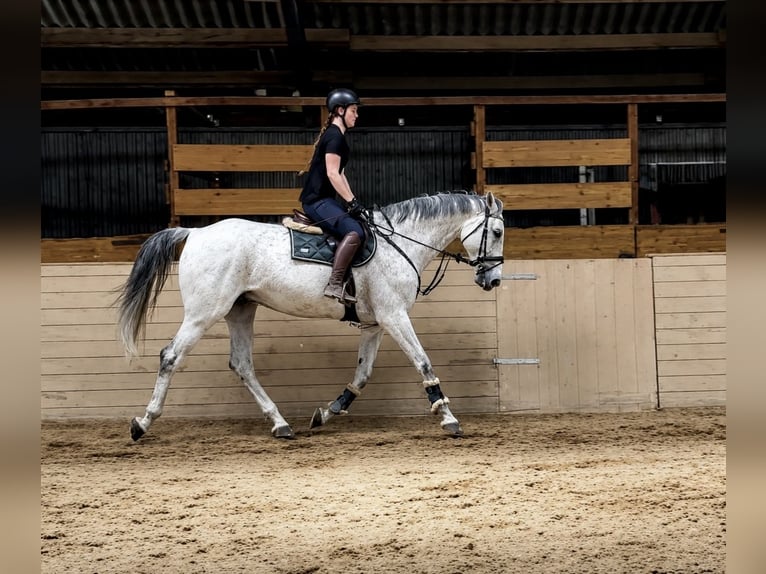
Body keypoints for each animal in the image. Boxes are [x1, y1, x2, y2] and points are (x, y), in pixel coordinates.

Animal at [116, 191, 505, 440]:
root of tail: (195, 232)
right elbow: (423, 363)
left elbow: (362, 375)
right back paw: (143, 423)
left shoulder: (375, 323)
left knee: (241, 364)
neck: (402, 242)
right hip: (204, 313)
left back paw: (280, 424)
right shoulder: (395, 317)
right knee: (170, 355)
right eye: (498, 231)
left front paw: (327, 413)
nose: (494, 280)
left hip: (240, 310)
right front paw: (448, 417)